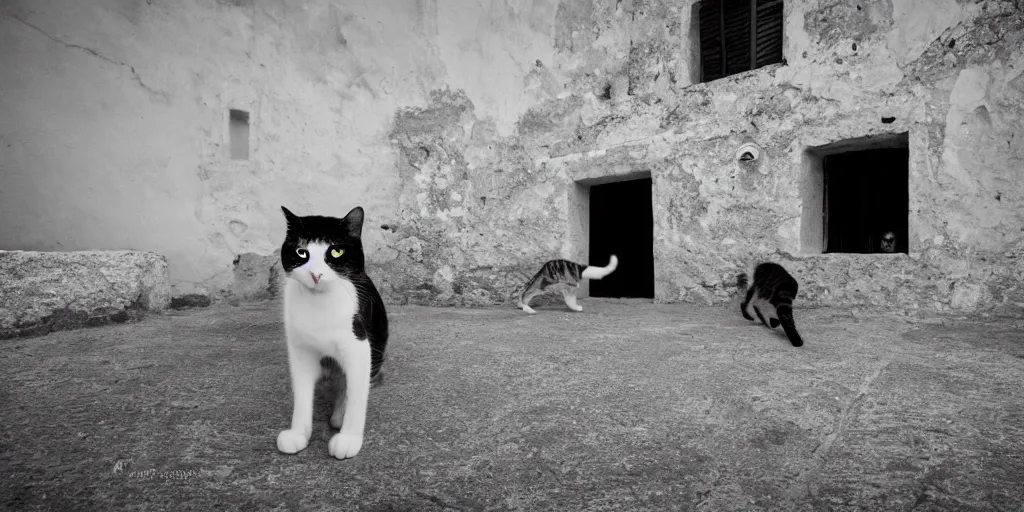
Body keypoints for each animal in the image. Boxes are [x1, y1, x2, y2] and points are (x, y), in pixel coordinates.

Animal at [276, 205, 387, 462]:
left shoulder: (358, 345)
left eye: (336, 251)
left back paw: (339, 415)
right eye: (301, 252)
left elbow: (357, 394)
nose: (315, 274)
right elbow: (302, 393)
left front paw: (349, 439)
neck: (319, 304)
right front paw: (298, 433)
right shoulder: (300, 350)